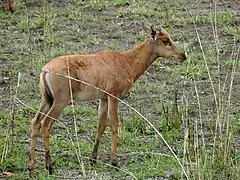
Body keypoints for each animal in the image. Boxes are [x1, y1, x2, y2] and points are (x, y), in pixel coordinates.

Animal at [27, 23, 186, 176]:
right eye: (165, 40)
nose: (182, 55)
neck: (125, 60)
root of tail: (46, 70)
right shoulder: (113, 96)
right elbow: (114, 124)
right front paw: (115, 162)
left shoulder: (103, 99)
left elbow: (101, 125)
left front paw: (93, 158)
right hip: (60, 102)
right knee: (45, 124)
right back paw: (49, 166)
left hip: (47, 100)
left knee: (35, 122)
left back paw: (31, 168)